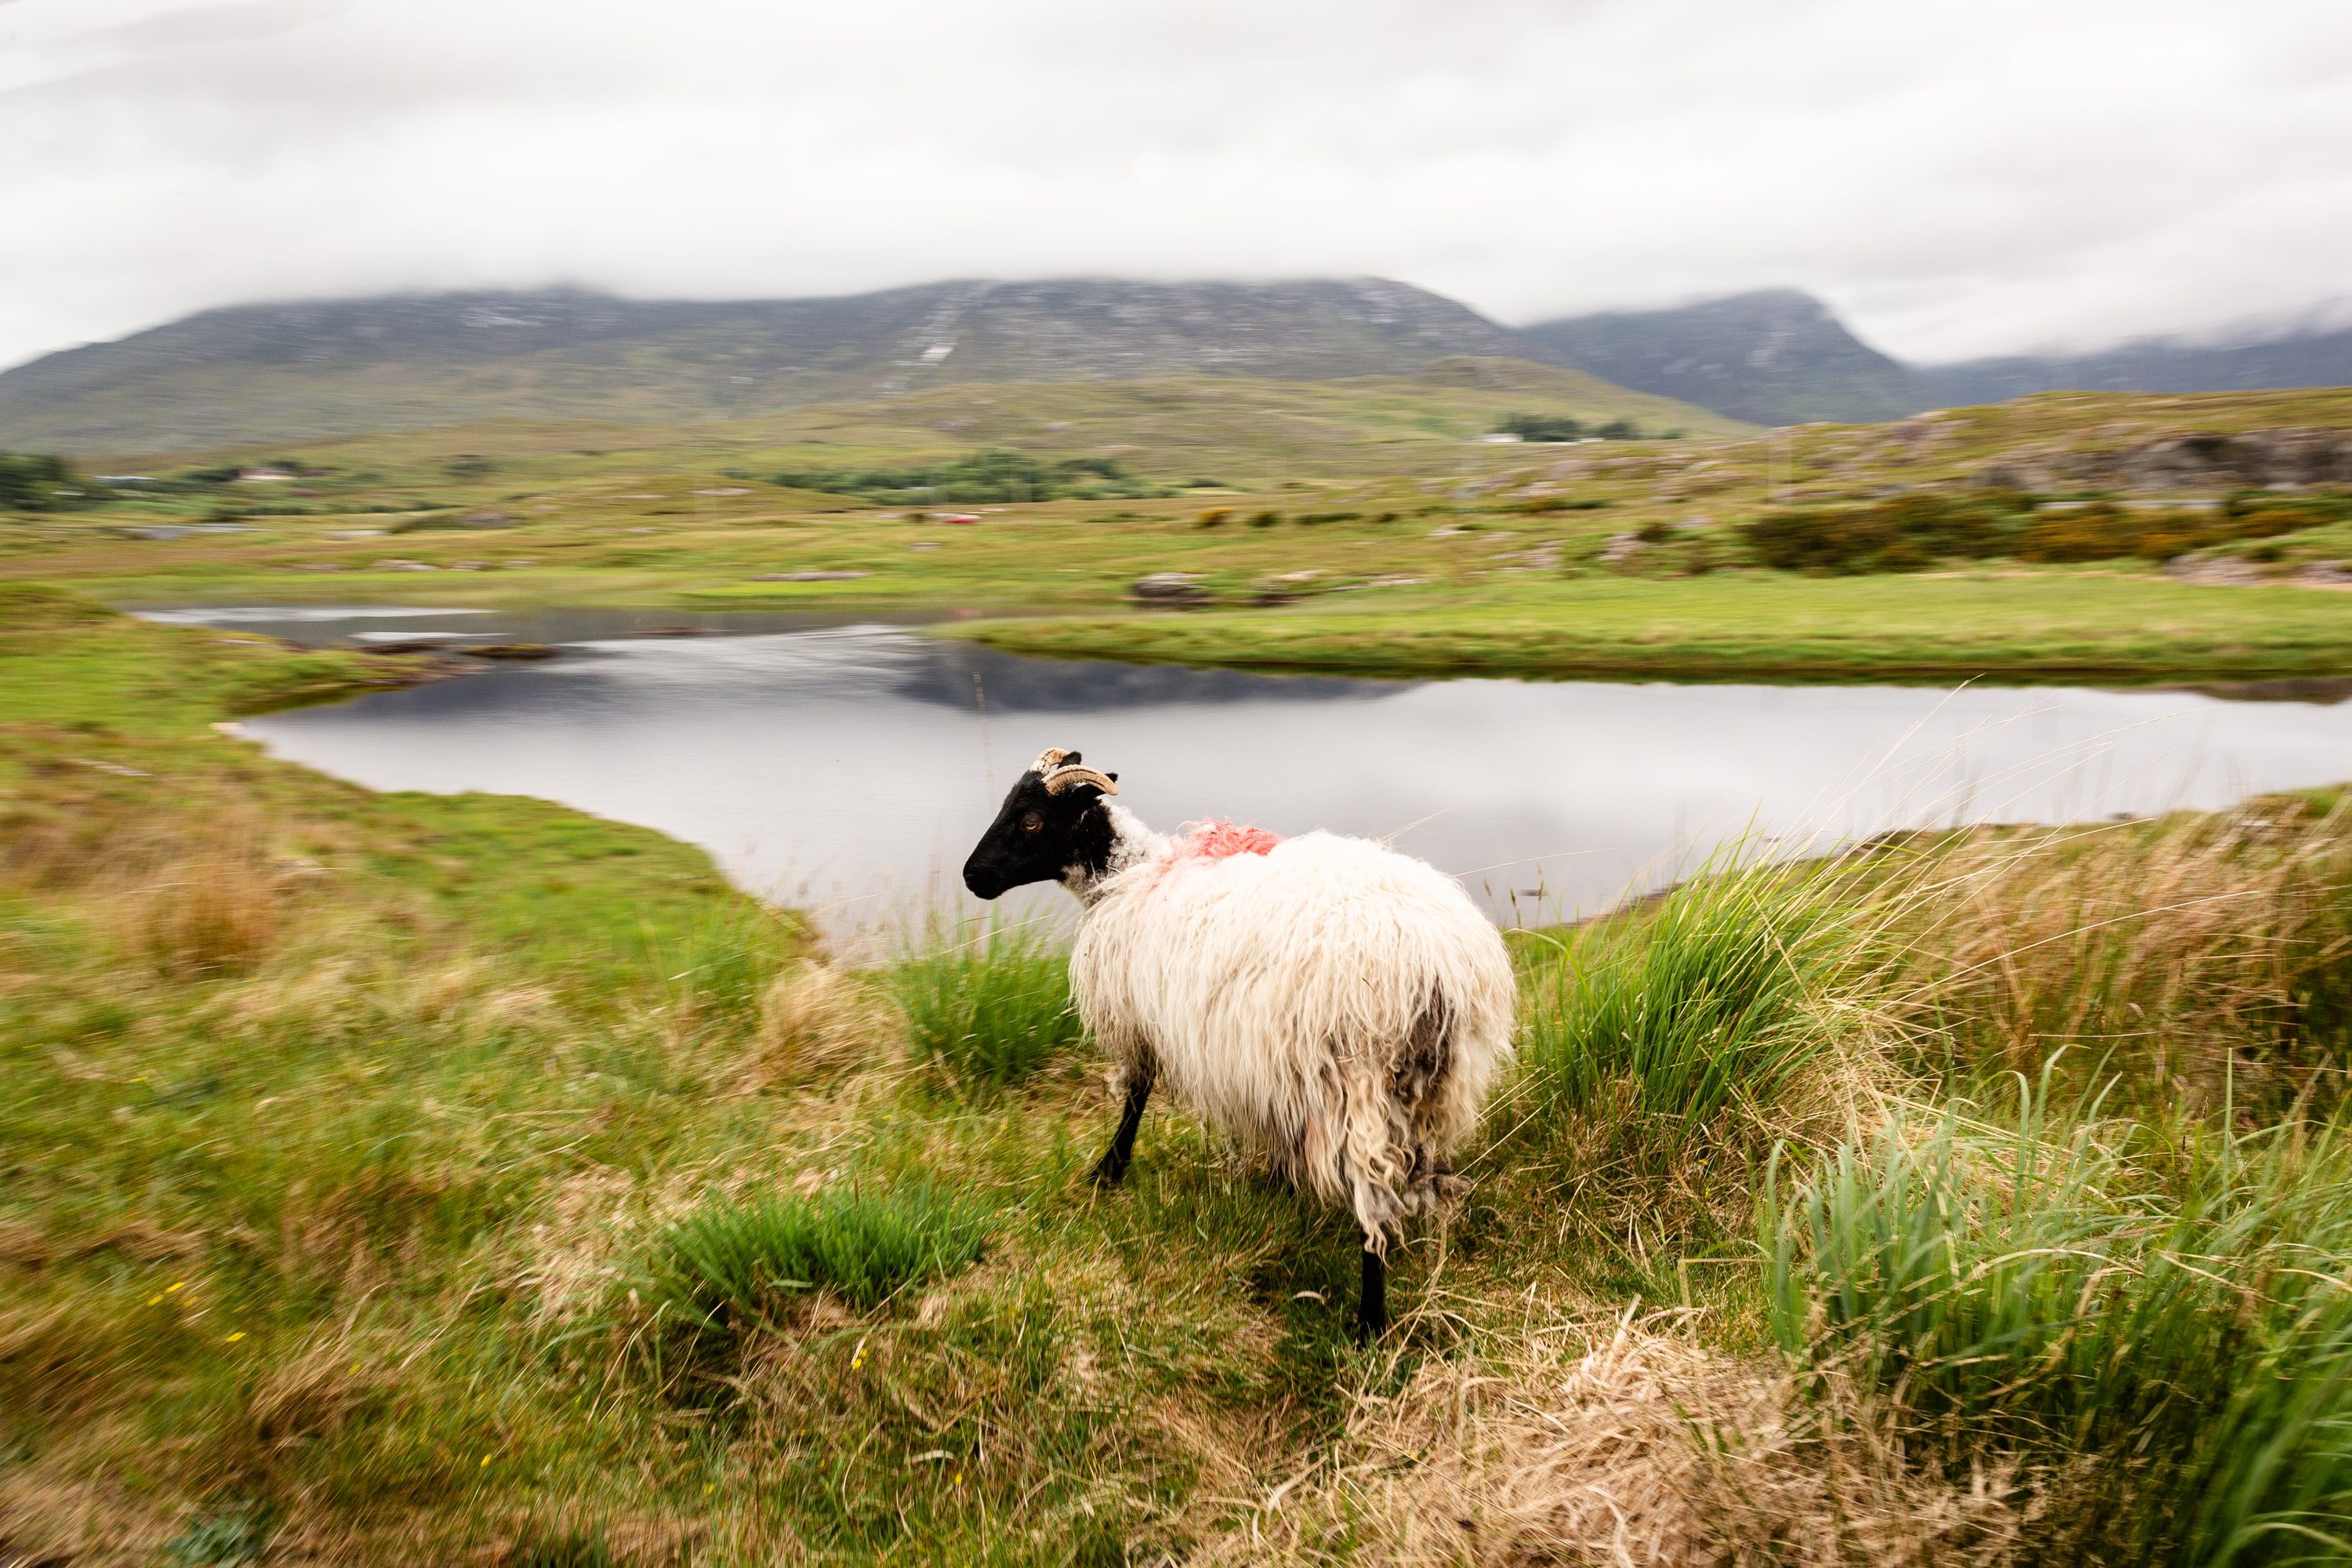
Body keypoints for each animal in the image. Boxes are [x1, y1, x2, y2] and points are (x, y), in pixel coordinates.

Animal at [961, 747, 1514, 1340]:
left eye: (1031, 821)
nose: (971, 876)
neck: (1131, 873)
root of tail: (1435, 964)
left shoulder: (1144, 1020)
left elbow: (1136, 1094)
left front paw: (1108, 1171)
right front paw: (1277, 1187)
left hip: (1357, 1080)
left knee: (1374, 1195)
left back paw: (1369, 1321)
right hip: (1438, 1082)